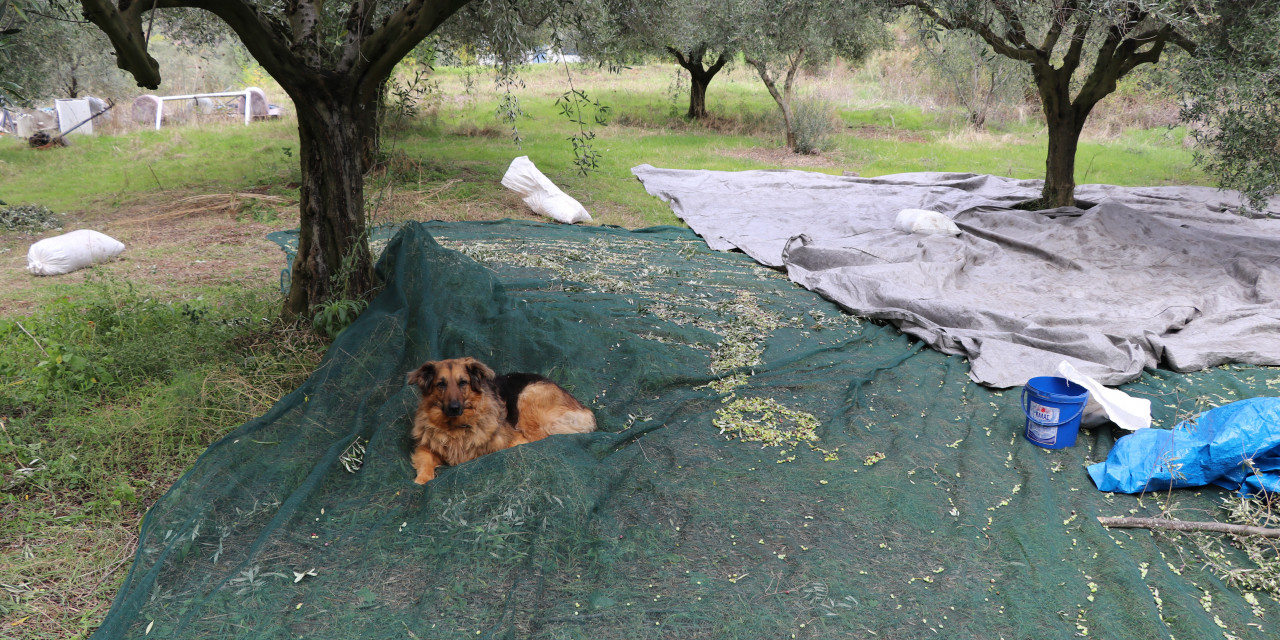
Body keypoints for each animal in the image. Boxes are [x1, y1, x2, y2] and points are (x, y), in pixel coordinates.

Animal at [401, 358, 596, 481]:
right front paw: (422, 480)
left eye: (463, 382)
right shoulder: (425, 447)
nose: (454, 408)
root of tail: (584, 410)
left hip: (528, 395)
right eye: (441, 384)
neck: (455, 426)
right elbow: (425, 461)